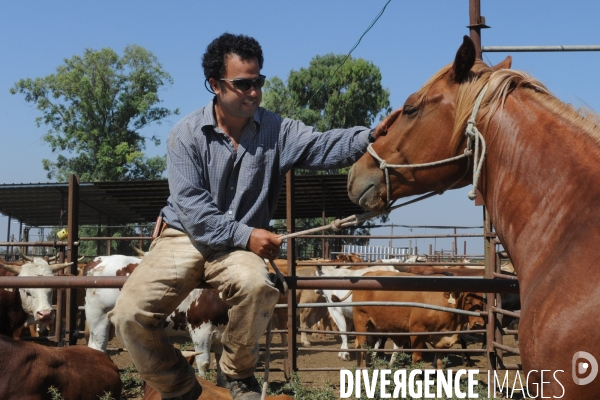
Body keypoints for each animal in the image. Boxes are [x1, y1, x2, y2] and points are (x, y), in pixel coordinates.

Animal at [82, 255, 227, 382]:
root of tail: (98, 260)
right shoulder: (200, 329)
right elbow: (204, 363)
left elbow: (222, 366)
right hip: (98, 317)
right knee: (98, 347)